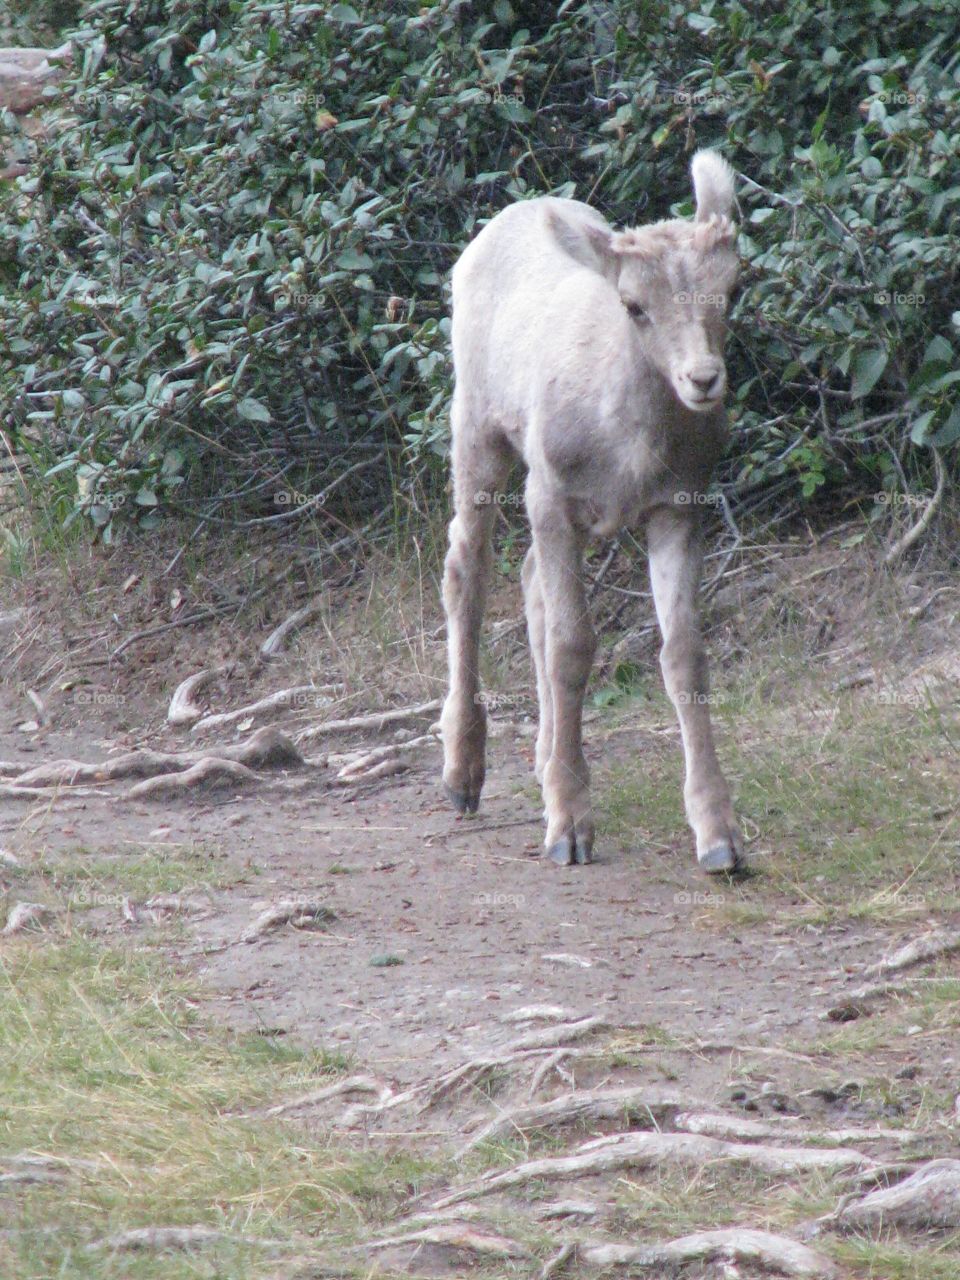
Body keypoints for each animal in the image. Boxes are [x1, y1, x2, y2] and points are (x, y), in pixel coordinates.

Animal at [442, 147, 742, 870]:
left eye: (734, 289)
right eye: (634, 305)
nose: (702, 380)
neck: (629, 449)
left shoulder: (677, 508)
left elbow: (684, 654)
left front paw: (719, 838)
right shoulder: (553, 497)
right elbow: (572, 646)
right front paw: (570, 830)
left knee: (526, 583)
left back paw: (542, 759)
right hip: (477, 428)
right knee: (467, 571)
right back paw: (463, 776)